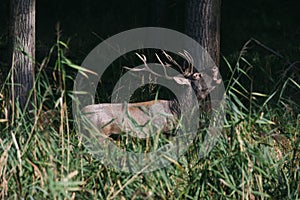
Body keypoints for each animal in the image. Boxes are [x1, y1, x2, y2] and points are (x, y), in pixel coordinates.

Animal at [80, 51, 223, 142]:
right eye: (197, 75)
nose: (215, 68)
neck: (177, 110)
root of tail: (80, 116)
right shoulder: (163, 131)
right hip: (99, 133)